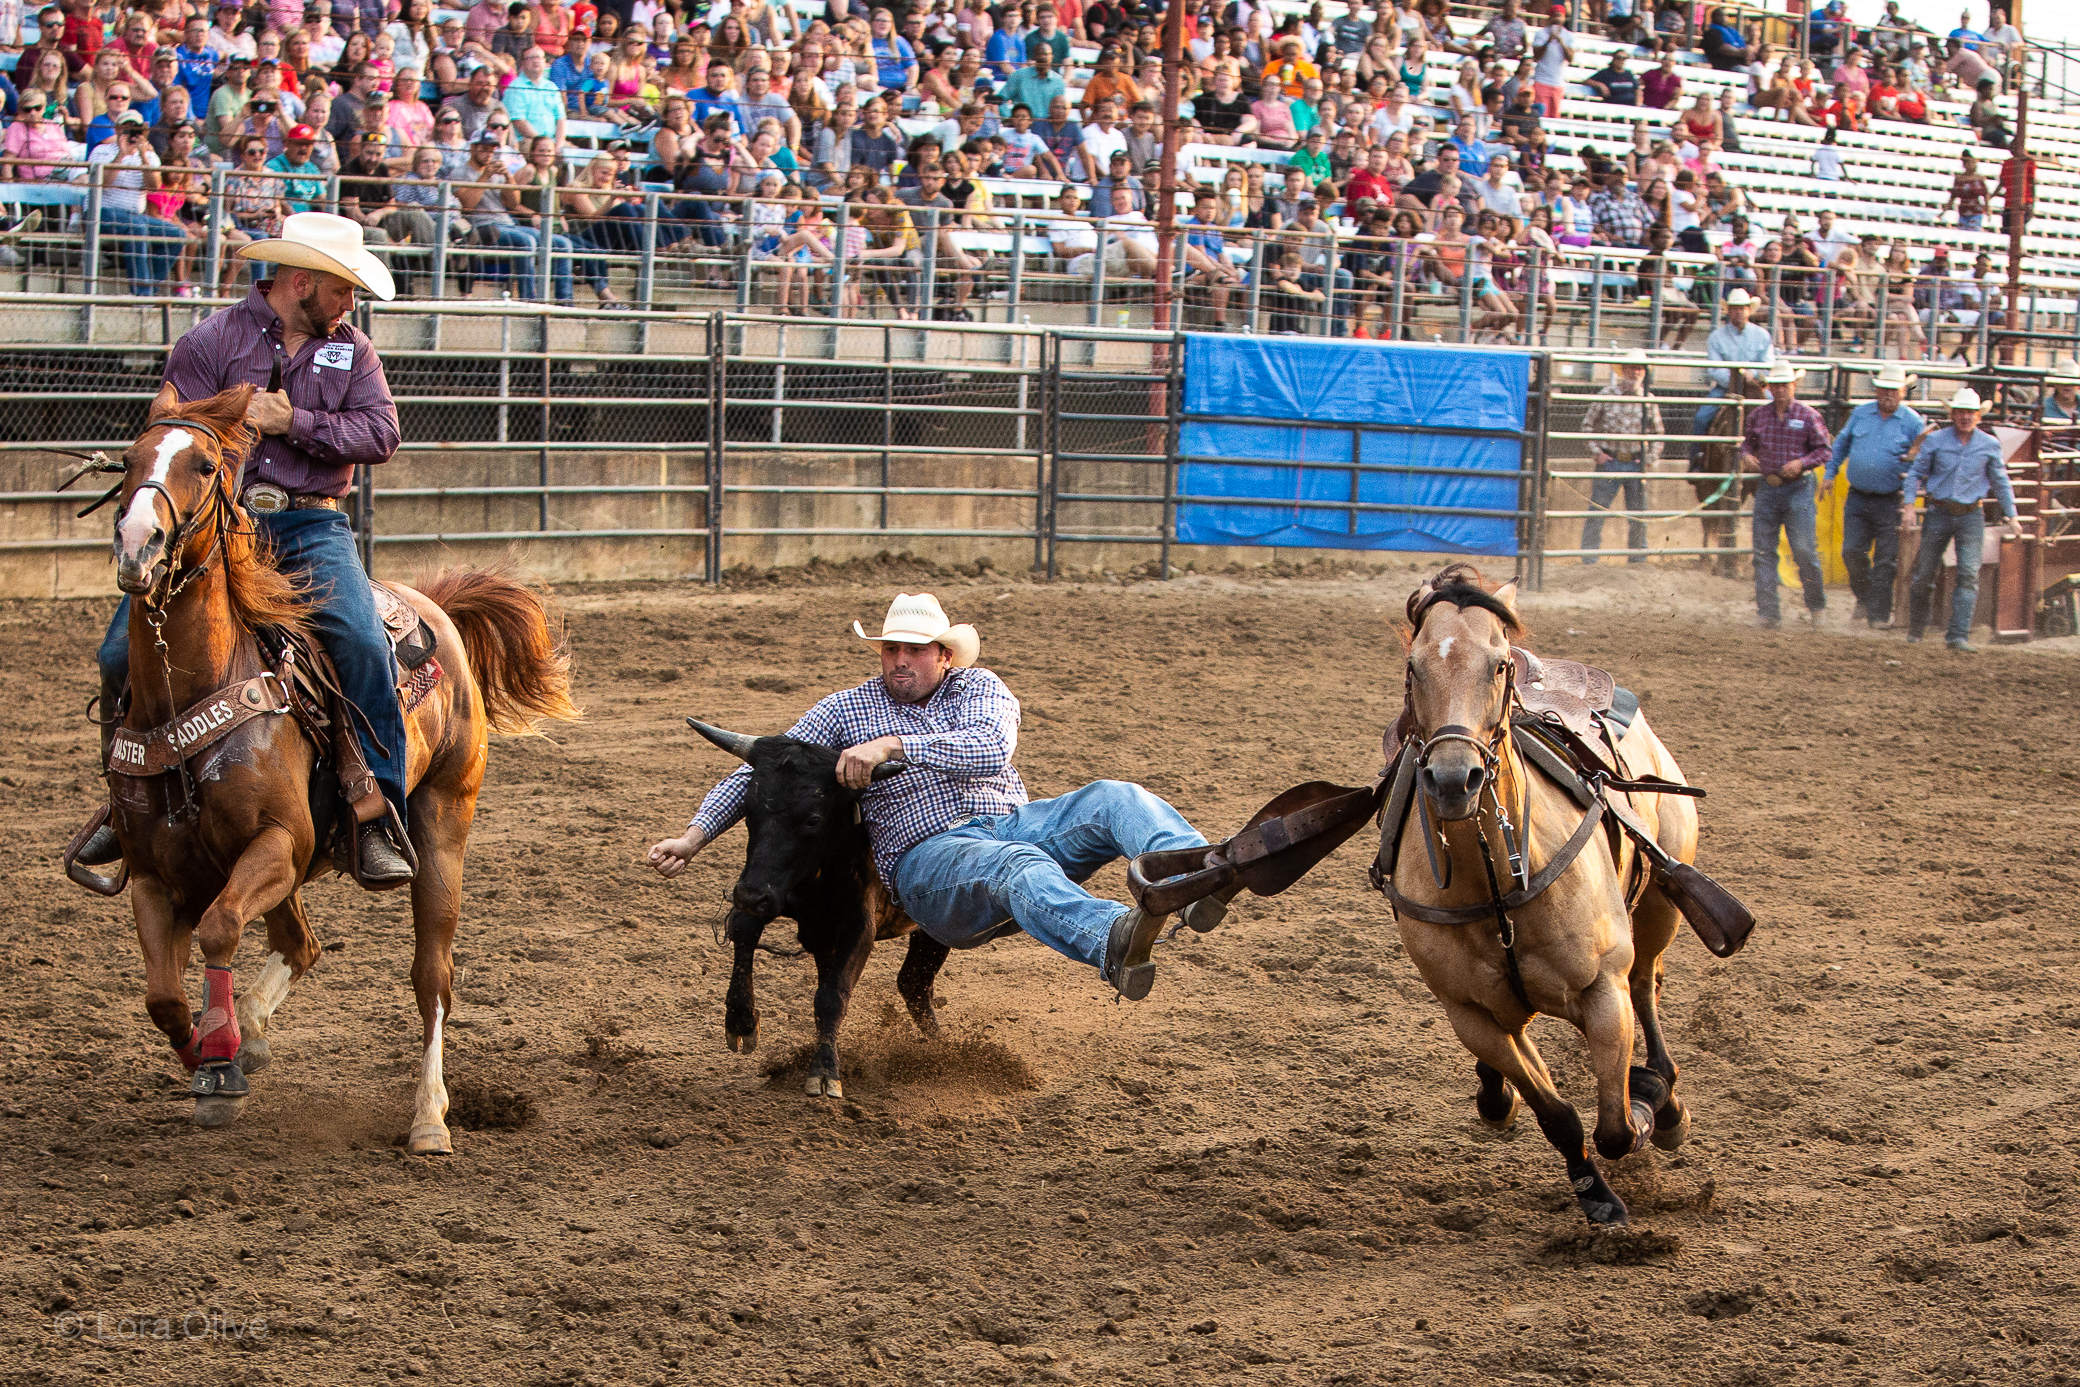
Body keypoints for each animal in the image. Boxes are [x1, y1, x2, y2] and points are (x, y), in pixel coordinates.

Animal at [80, 384, 578, 1156]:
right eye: (129, 460)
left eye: (203, 463)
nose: (139, 544)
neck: (192, 691)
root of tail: (438, 608)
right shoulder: (157, 874)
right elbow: (163, 995)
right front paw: (211, 1052)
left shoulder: (280, 842)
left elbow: (219, 928)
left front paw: (219, 1063)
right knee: (301, 943)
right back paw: (251, 1030)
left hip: (441, 828)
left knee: (432, 977)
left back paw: (429, 1117)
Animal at [1372, 565, 1747, 1222]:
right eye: (1414, 666)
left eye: (1498, 664)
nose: (1453, 779)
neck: (1496, 882)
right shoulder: (1472, 1017)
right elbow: (1560, 1116)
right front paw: (1596, 1195)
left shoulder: (1602, 990)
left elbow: (1617, 1126)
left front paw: (1647, 1102)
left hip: (1658, 911)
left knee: (1646, 987)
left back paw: (1666, 1099)